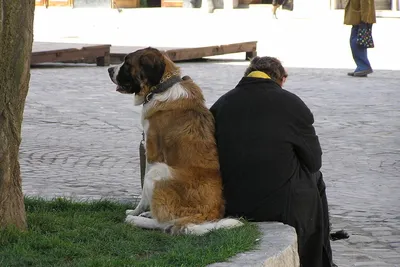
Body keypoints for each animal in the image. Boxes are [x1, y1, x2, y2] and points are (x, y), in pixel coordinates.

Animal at [108, 48, 242, 237]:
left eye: (127, 63)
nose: (109, 69)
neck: (161, 87)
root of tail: (206, 215)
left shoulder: (152, 153)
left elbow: (143, 195)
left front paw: (135, 211)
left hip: (158, 171)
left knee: (163, 223)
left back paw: (136, 219)